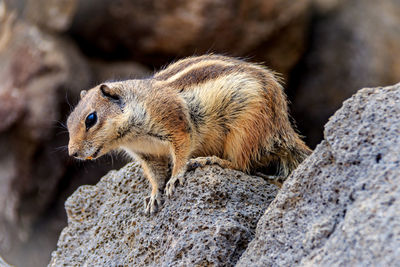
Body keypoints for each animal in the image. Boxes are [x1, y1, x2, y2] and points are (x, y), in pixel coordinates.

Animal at [67, 55, 312, 216]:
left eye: (91, 119)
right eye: (69, 122)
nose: (73, 153)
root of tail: (281, 125)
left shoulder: (176, 125)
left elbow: (182, 152)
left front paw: (175, 178)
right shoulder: (147, 154)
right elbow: (155, 175)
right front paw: (154, 195)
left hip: (246, 129)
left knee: (243, 165)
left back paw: (211, 160)